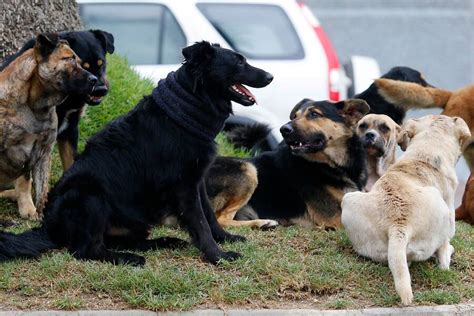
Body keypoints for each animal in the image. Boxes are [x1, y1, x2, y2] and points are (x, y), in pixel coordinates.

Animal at [0, 29, 115, 172]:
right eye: (82, 66)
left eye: (102, 63)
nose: (101, 90)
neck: (67, 101)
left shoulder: (69, 130)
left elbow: (70, 162)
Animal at [0, 32, 96, 220]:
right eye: (68, 59)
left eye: (79, 61)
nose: (95, 80)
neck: (35, 106)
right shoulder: (20, 153)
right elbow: (24, 180)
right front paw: (28, 209)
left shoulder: (43, 152)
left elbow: (41, 188)